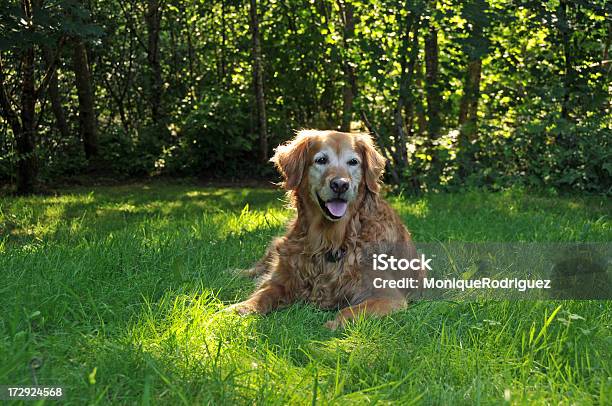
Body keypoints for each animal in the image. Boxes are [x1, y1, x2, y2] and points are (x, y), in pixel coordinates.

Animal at [227, 130, 424, 330]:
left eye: (353, 162)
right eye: (321, 160)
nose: (340, 185)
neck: (330, 239)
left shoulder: (389, 297)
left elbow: (350, 311)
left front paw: (333, 324)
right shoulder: (283, 281)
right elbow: (263, 294)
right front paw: (237, 309)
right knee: (259, 267)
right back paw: (235, 273)